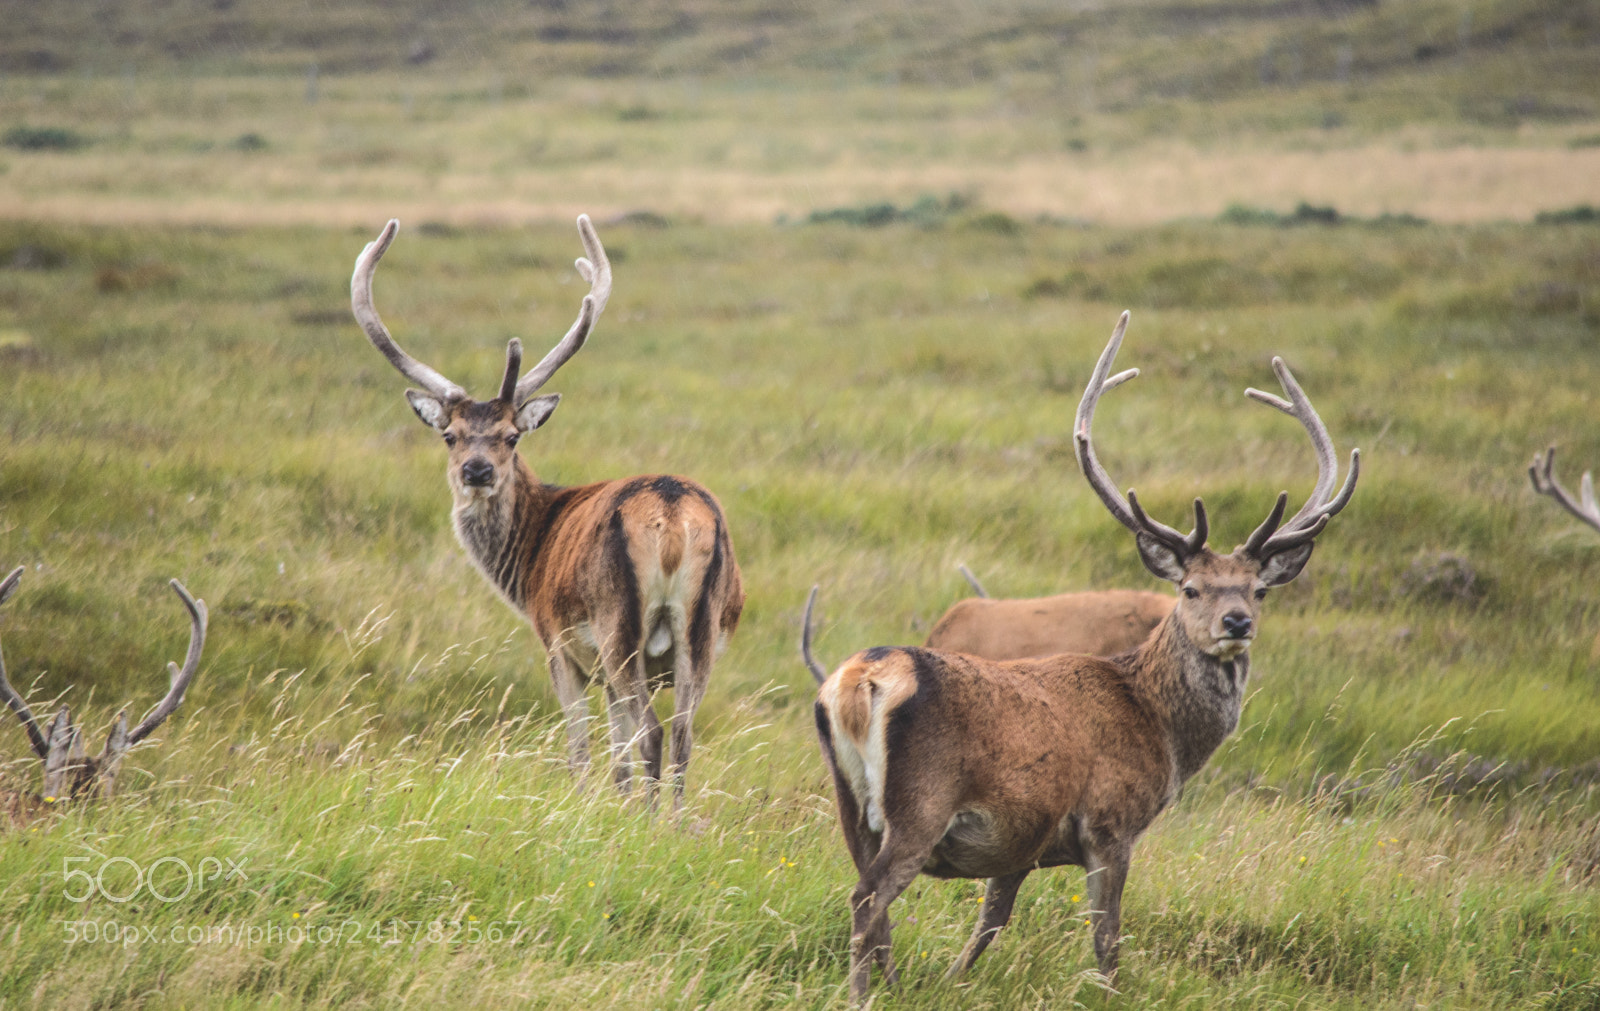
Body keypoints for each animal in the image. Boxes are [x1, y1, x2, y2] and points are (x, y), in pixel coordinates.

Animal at [351, 216, 744, 806]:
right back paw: (670, 819)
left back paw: (652, 822)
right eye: (450, 435)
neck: (527, 559)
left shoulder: (557, 642)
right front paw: (616, 808)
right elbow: (618, 760)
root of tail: (674, 514)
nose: (477, 471)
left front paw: (586, 808)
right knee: (682, 736)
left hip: (617, 623)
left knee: (653, 732)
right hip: (702, 635)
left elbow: (581, 748)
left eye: (512, 436)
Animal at [801, 311, 1357, 1002]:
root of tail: (859, 680)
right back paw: (861, 996)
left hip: (850, 803)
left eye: (1258, 589)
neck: (1161, 730)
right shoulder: (1110, 823)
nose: (1237, 622)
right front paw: (1110, 993)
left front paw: (952, 984)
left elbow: (989, 924)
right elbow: (1107, 939)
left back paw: (895, 985)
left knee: (869, 902)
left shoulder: (1021, 841)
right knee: (867, 899)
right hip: (920, 801)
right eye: (1190, 587)